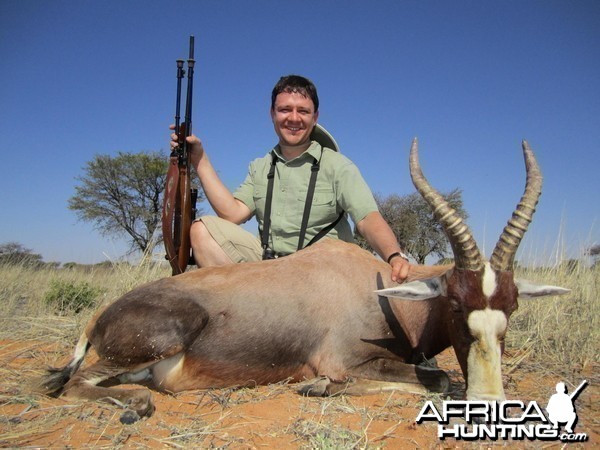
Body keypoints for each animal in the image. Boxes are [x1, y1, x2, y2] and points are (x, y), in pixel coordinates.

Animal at [39, 139, 568, 420]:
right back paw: (133, 405)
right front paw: (317, 388)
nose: (490, 400)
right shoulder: (345, 361)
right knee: (74, 384)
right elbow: (435, 380)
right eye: (456, 306)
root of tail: (97, 320)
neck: (376, 288)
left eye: (512, 308)